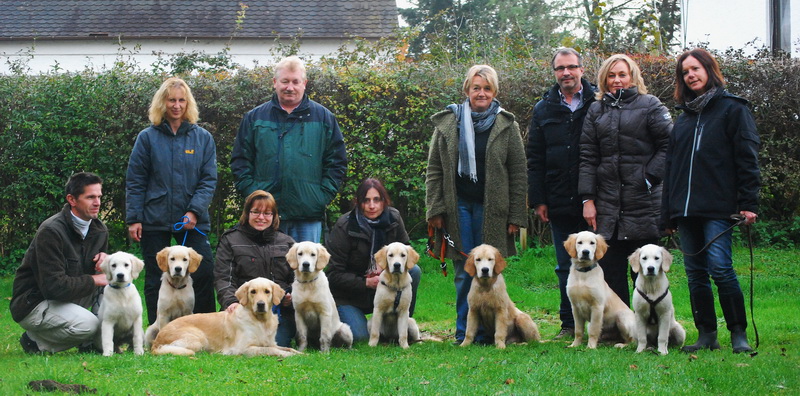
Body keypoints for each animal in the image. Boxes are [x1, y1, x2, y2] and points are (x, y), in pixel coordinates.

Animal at [150, 276, 300, 358]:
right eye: (253, 292)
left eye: (267, 291)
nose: (261, 304)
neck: (261, 321)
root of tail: (156, 340)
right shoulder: (244, 349)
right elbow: (270, 350)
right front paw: (288, 355)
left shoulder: (271, 342)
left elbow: (286, 348)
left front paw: (299, 353)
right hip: (198, 338)